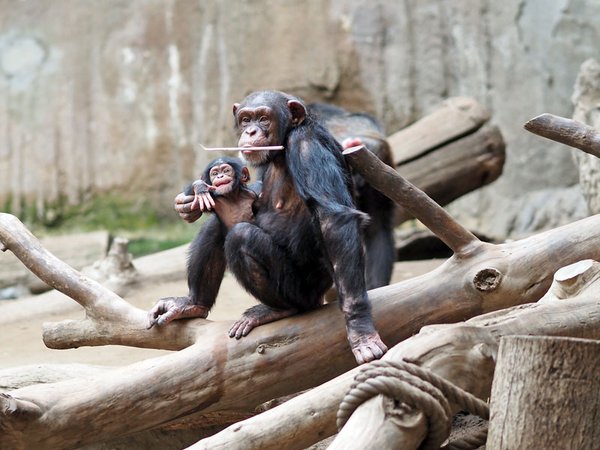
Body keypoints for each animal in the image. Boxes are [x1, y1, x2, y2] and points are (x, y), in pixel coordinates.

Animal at [152, 89, 386, 364]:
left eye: (264, 118)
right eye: (245, 119)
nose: (251, 131)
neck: (283, 147)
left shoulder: (307, 147)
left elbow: (333, 220)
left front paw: (360, 329)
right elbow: (254, 194)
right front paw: (189, 202)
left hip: (301, 290)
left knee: (242, 237)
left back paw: (279, 309)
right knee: (216, 227)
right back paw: (193, 303)